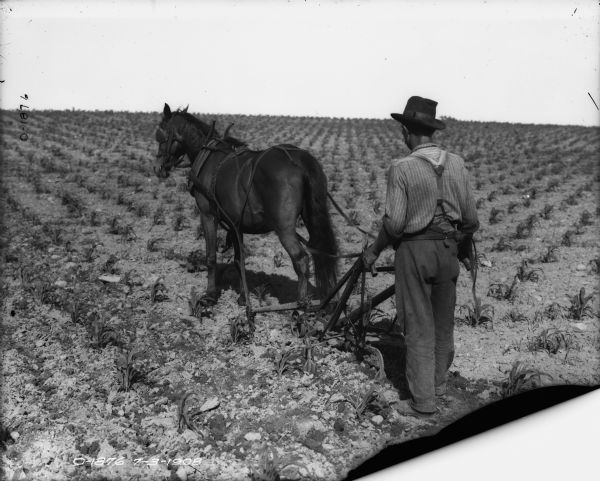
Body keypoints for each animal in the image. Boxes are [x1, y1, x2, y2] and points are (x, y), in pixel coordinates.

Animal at [152, 104, 340, 306]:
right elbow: (238, 260)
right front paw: (243, 297)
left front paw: (210, 295)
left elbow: (211, 257)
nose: (158, 168)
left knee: (301, 260)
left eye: (160, 134)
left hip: (284, 228)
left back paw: (301, 306)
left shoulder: (208, 215)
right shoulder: (235, 224)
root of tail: (298, 160)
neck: (208, 155)